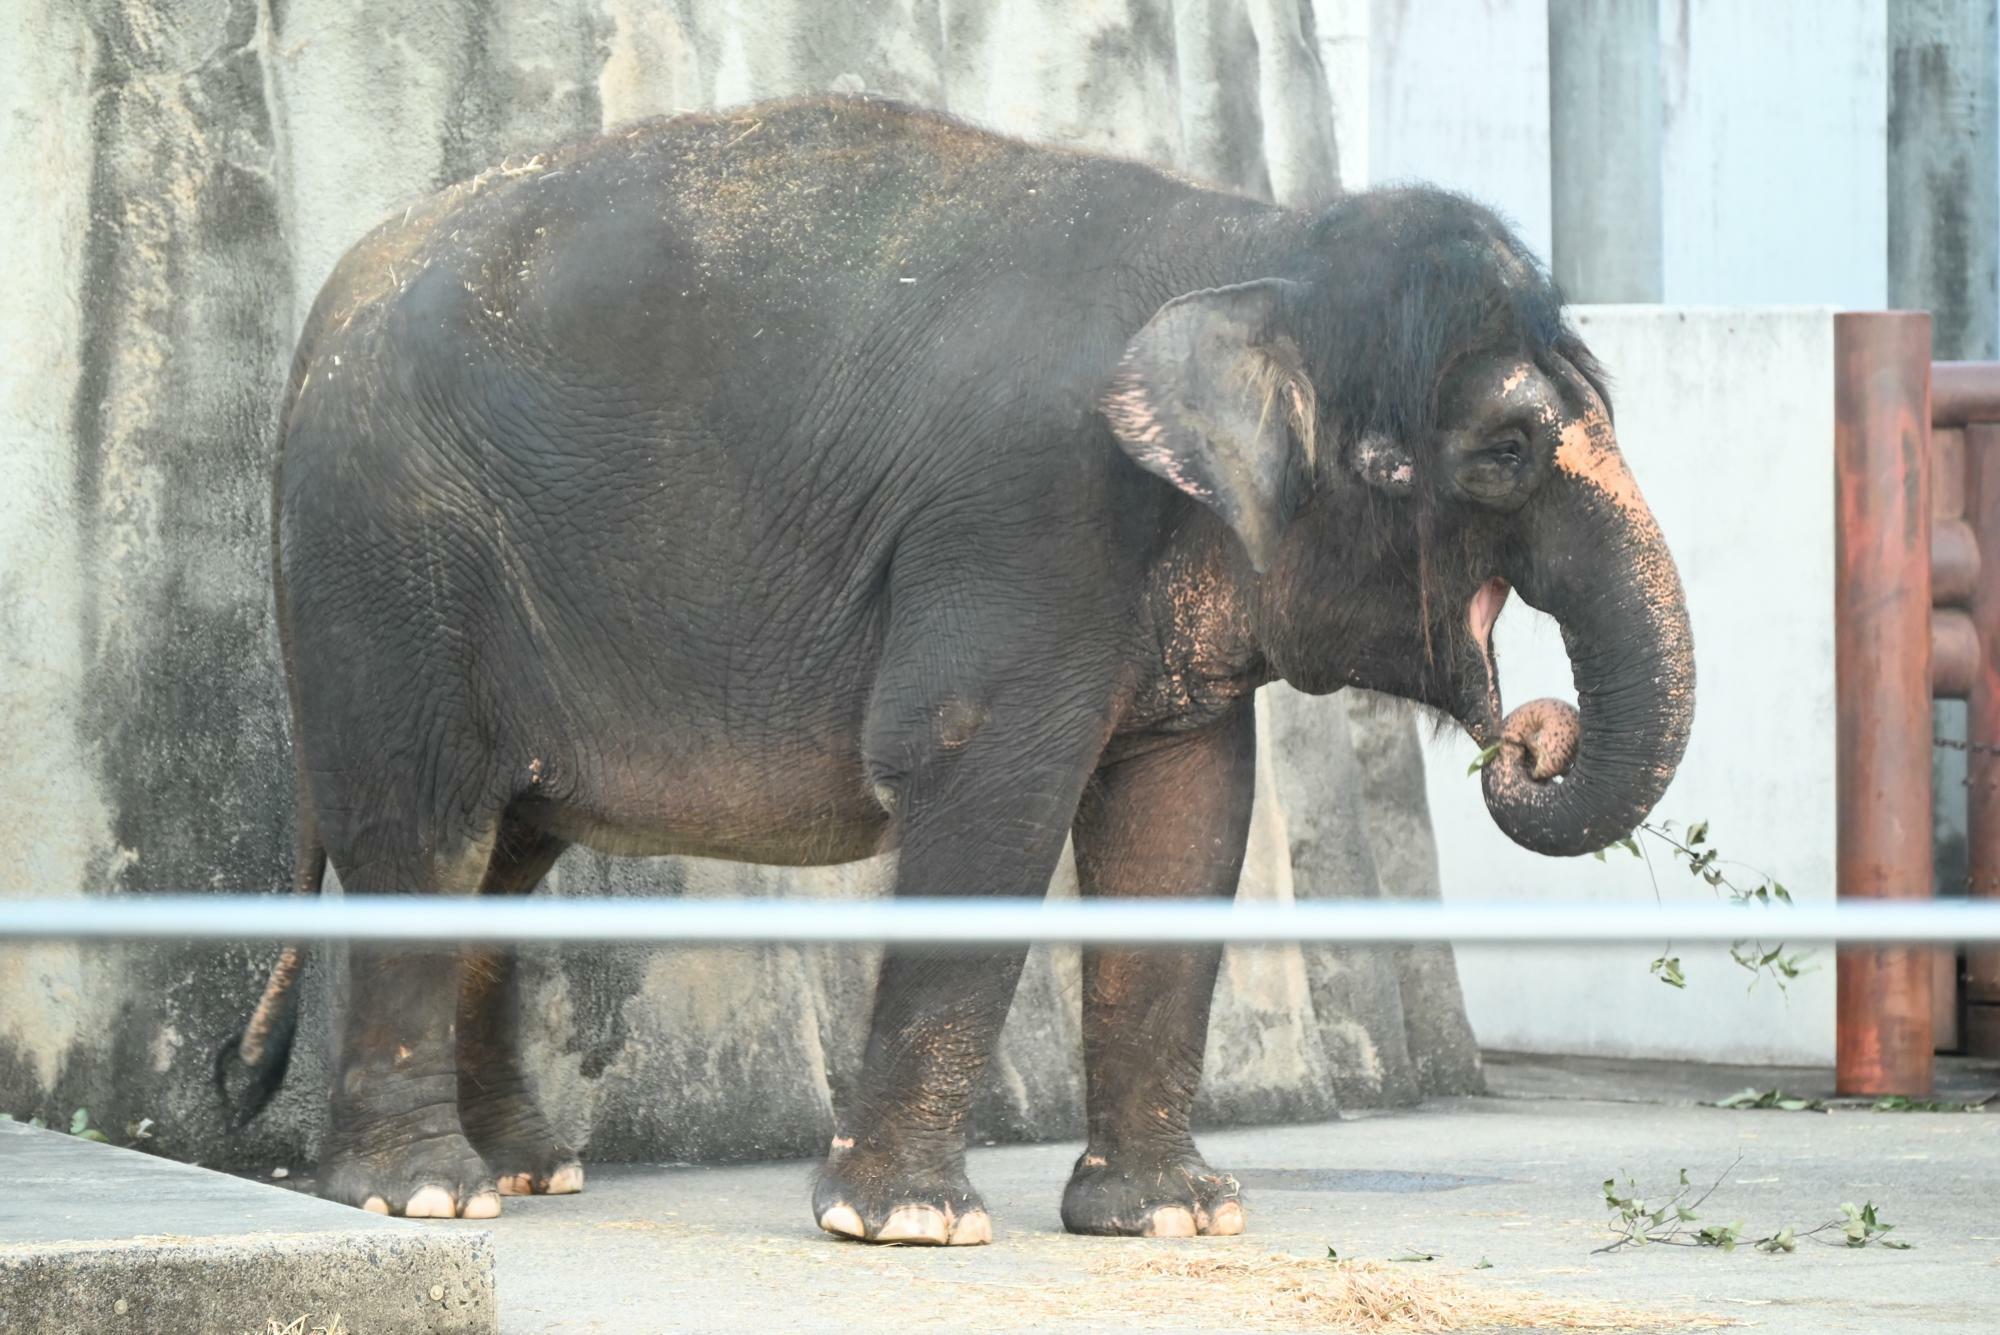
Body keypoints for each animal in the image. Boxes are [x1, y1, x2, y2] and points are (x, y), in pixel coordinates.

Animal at [219, 91, 1688, 1239]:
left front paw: (1172, 1216)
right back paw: (424, 1195)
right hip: (389, 560)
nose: (1531, 737)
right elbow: (986, 787)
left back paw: (528, 1175)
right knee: (423, 823)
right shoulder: (1021, 519)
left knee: (504, 853)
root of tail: (313, 326)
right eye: (1504, 450)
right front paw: (907, 1224)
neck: (1254, 249)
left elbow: (1182, 819)